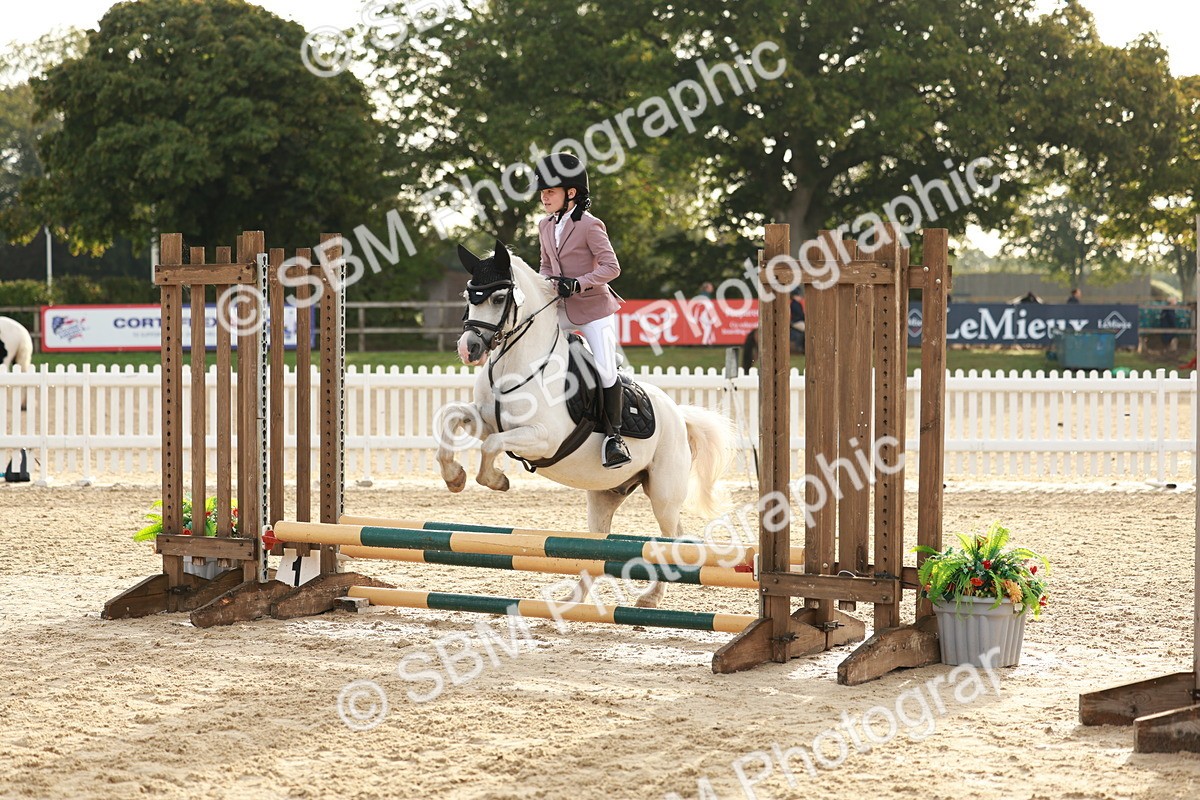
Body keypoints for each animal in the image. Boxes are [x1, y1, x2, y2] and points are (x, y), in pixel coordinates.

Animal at [436, 242, 733, 608]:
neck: (516, 364)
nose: (469, 348)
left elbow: (491, 446)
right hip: (605, 496)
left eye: (497, 298)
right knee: (598, 549)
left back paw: (649, 598)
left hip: (663, 495)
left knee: (672, 538)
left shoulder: (542, 438)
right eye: (469, 295)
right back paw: (571, 600)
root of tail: (678, 414)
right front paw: (454, 477)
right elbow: (451, 416)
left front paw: (496, 480)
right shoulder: (487, 421)